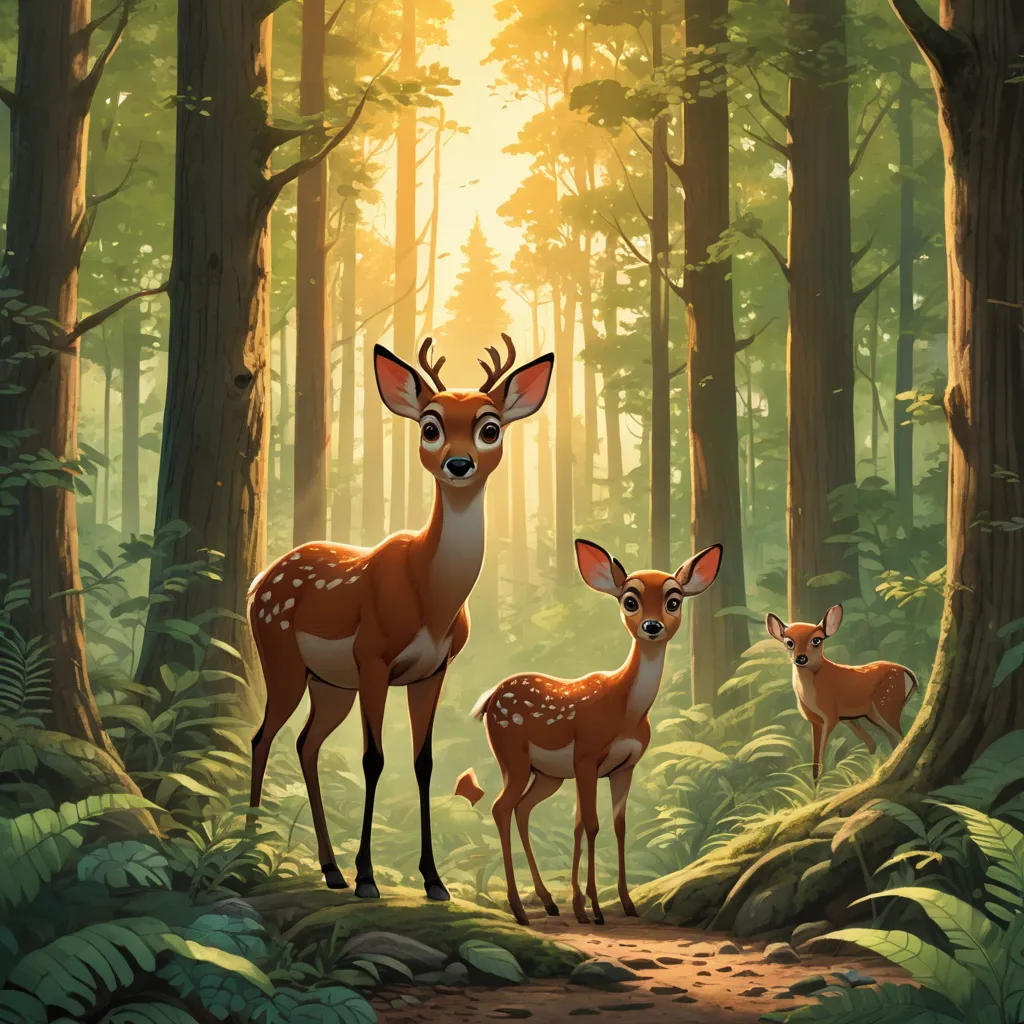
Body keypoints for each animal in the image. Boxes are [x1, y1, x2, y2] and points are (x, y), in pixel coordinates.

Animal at [247, 335, 553, 901]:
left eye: (490, 427)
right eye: (430, 426)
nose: (459, 464)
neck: (430, 599)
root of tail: (259, 581)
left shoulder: (432, 670)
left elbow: (423, 762)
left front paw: (434, 881)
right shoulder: (372, 656)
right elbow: (374, 760)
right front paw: (369, 877)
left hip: (330, 684)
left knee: (306, 743)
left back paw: (330, 869)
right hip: (281, 657)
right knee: (263, 738)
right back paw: (250, 849)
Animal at [456, 539, 723, 926]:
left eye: (674, 600)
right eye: (630, 600)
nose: (652, 625)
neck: (626, 710)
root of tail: (490, 698)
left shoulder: (624, 766)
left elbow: (612, 825)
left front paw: (619, 904)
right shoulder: (586, 756)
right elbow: (593, 825)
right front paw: (595, 908)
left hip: (547, 775)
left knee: (522, 809)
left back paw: (548, 902)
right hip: (512, 754)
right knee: (500, 807)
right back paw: (519, 908)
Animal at [765, 604, 918, 781]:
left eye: (816, 640)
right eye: (789, 642)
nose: (801, 658)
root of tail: (911, 675)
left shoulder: (830, 715)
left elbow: (822, 755)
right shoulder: (815, 720)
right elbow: (815, 760)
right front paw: (815, 783)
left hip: (887, 704)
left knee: (900, 737)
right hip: (869, 714)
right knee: (881, 740)